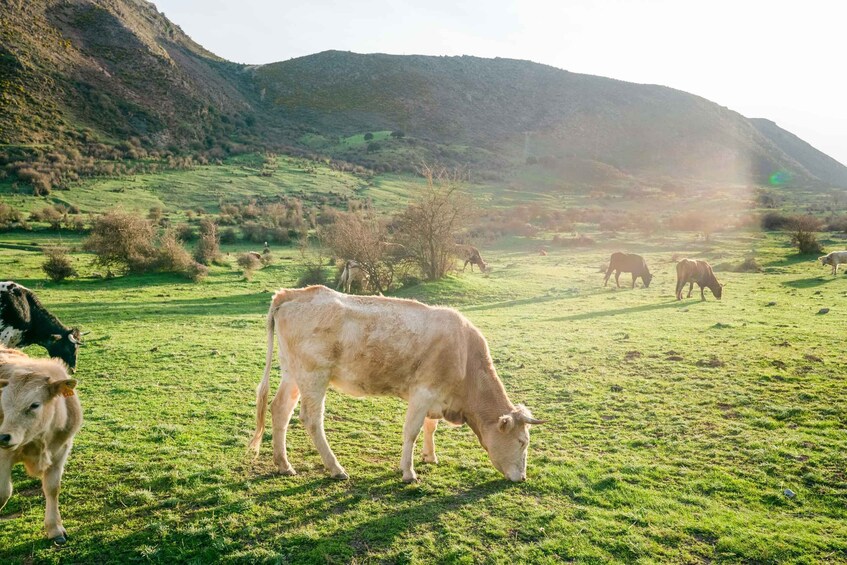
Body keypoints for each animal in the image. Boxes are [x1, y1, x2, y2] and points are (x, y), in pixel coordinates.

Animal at [0, 346, 80, 544]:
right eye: (3, 404)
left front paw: (55, 528)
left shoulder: (60, 453)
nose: (3, 437)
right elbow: (3, 492)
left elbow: (52, 488)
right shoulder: (3, 455)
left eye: (34, 405)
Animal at [250, 286, 544, 480]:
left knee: (280, 410)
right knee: (311, 419)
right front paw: (408, 471)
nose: (522, 477)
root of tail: (290, 294)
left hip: (292, 373)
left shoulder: (436, 396)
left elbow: (430, 427)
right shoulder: (423, 392)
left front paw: (430, 456)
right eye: (522, 442)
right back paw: (336, 468)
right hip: (314, 374)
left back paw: (283, 464)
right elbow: (411, 431)